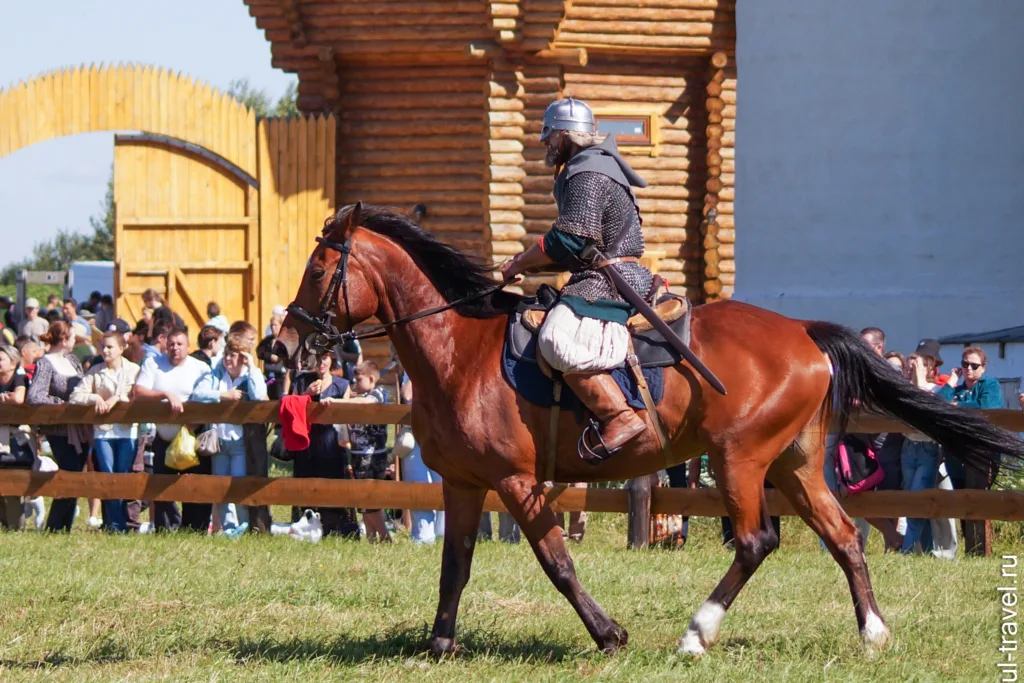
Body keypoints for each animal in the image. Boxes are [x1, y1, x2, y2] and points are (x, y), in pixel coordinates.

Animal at [276, 201, 1024, 655]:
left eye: (318, 268)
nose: (282, 347)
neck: (459, 347)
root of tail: (804, 333)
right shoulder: (463, 484)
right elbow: (454, 565)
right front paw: (438, 646)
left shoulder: (517, 483)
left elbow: (558, 561)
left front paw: (608, 633)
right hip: (795, 464)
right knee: (845, 535)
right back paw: (872, 632)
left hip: (738, 460)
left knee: (756, 540)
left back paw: (697, 632)